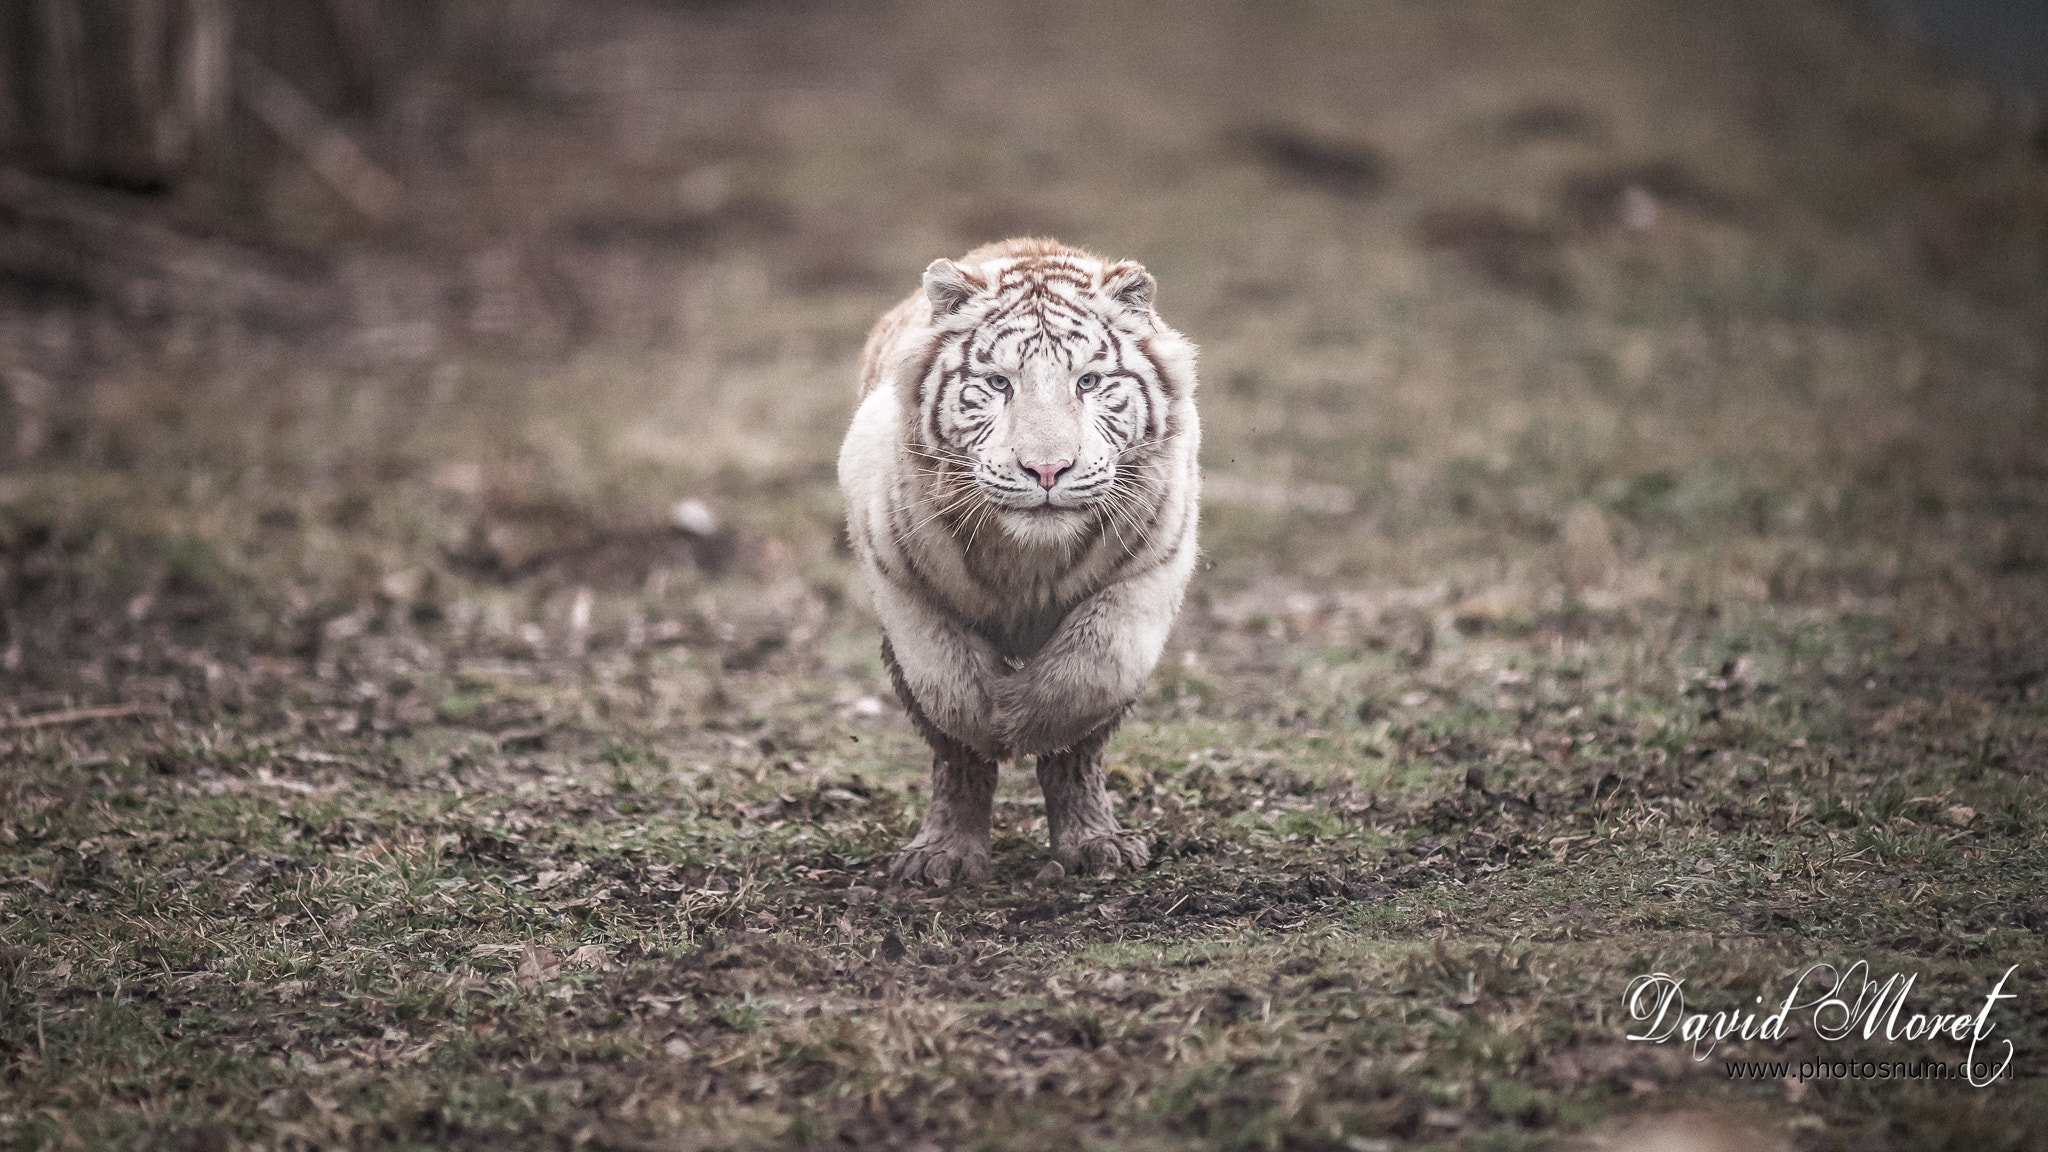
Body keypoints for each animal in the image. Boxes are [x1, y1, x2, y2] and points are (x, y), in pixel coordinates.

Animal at [837, 237, 1201, 887]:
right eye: (998, 383)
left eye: (1088, 381)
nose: (1047, 469)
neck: (1030, 557)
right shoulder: (899, 579)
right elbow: (948, 690)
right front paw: (993, 721)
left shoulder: (1152, 567)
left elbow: (1090, 673)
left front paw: (1023, 719)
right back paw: (941, 856)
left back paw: (1096, 846)